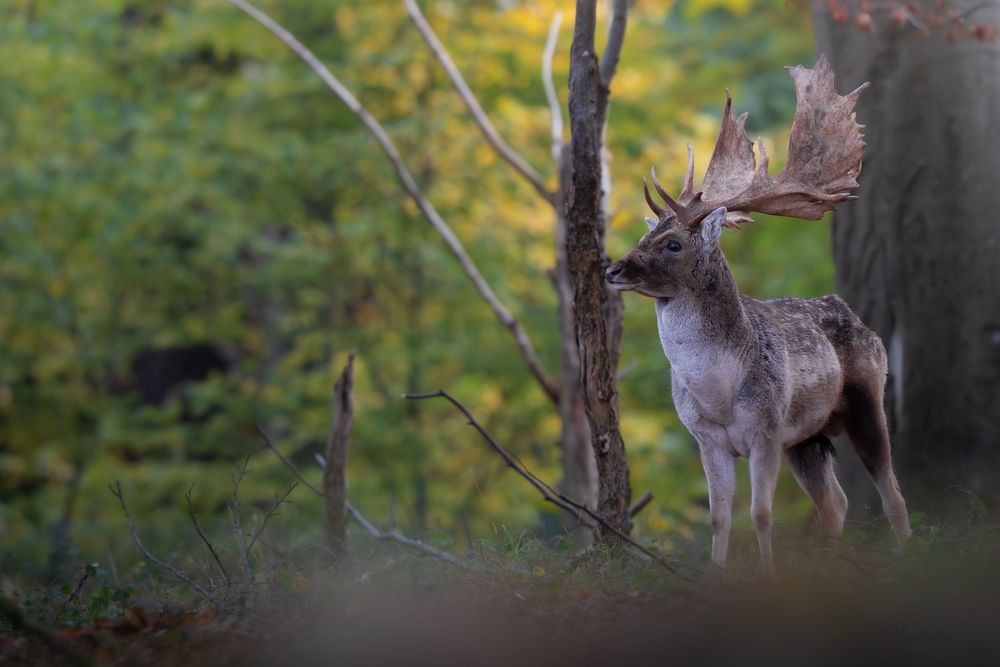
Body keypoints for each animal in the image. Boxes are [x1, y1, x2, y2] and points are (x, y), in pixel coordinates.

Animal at [605, 56, 911, 576]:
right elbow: (719, 516)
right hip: (807, 439)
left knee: (893, 493)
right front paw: (717, 573)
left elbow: (761, 514)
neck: (719, 393)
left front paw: (766, 576)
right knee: (836, 503)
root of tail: (852, 314)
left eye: (673, 244)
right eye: (646, 237)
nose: (612, 269)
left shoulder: (765, 429)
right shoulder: (706, 438)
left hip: (867, 396)